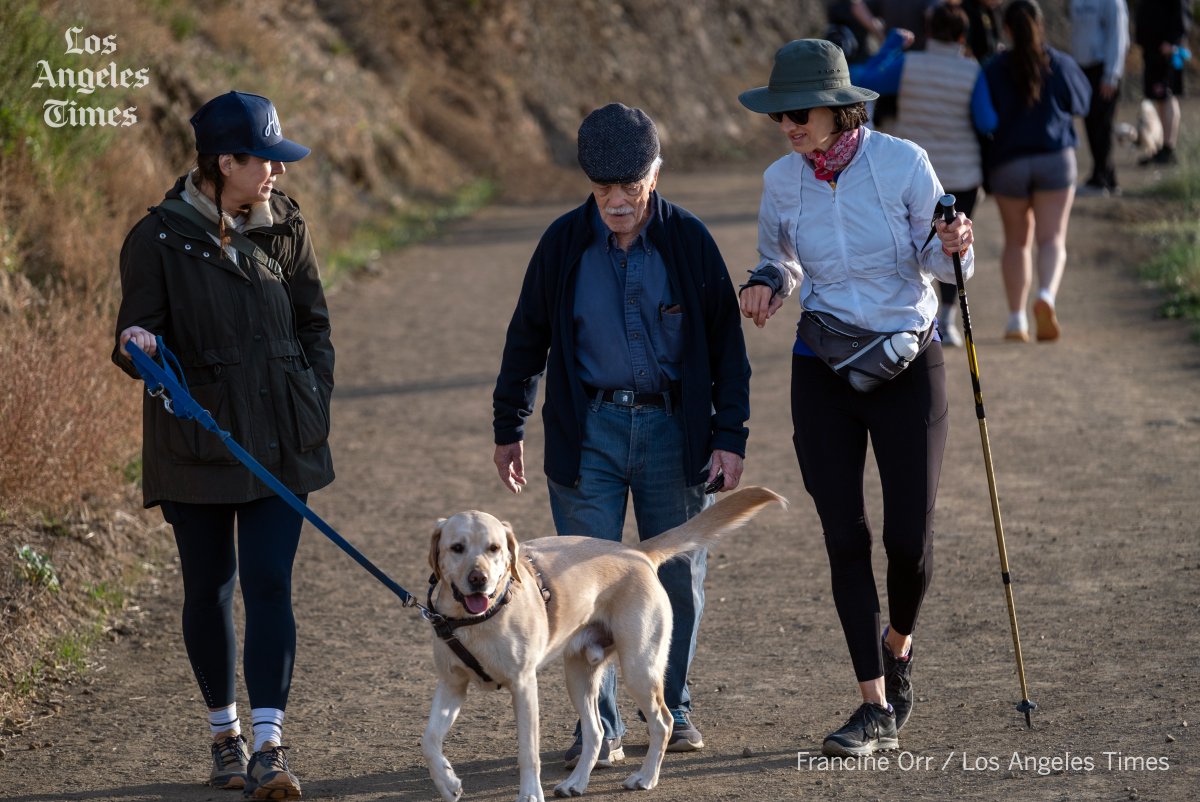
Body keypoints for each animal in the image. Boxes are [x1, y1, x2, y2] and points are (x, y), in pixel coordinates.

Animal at [422, 485, 787, 802]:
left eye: (494, 548)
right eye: (457, 548)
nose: (478, 579)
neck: (478, 620)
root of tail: (637, 552)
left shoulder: (524, 685)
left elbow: (528, 752)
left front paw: (530, 795)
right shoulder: (452, 685)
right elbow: (429, 740)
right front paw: (449, 783)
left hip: (640, 668)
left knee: (663, 722)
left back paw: (645, 778)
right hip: (579, 675)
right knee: (597, 731)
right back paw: (575, 783)